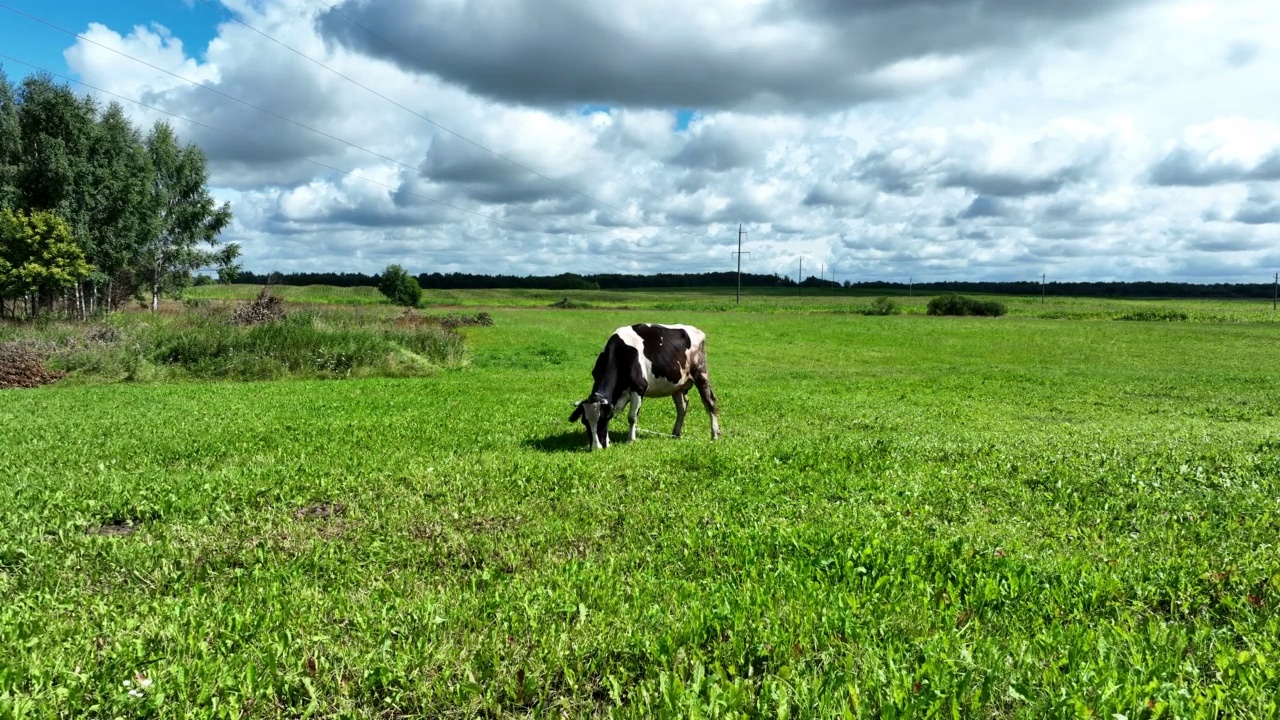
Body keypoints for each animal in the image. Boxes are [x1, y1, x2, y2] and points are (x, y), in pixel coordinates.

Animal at [570, 320, 721, 445]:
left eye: (601, 420)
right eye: (585, 422)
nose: (596, 447)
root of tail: (696, 330)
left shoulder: (639, 387)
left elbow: (632, 417)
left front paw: (631, 439)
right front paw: (608, 440)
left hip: (700, 373)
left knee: (709, 403)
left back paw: (715, 434)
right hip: (677, 385)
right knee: (682, 407)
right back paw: (675, 433)